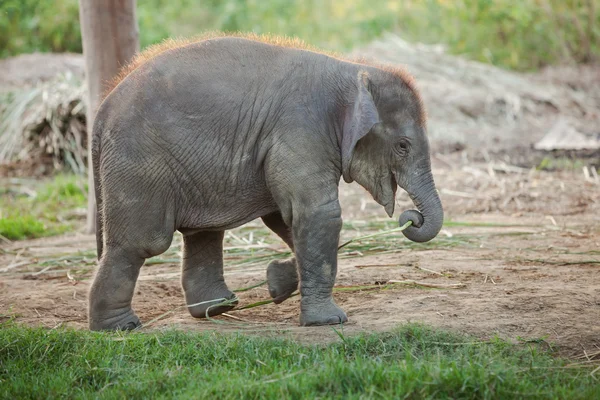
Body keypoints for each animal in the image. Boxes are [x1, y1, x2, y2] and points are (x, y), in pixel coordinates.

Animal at [90, 34, 446, 330]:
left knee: (203, 232)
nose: (412, 218)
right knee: (141, 242)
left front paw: (277, 282)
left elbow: (285, 217)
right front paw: (329, 321)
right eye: (403, 146)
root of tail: (102, 109)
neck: (354, 71)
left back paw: (218, 308)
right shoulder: (300, 131)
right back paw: (120, 327)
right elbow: (317, 213)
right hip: (139, 163)